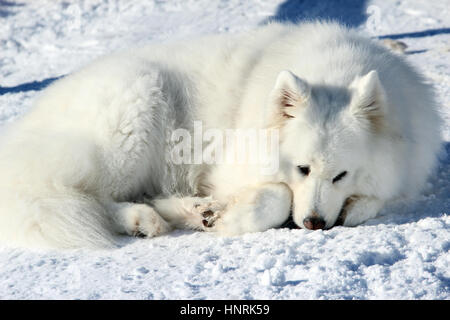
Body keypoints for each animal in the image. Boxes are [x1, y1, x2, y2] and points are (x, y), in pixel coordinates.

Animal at [0, 22, 442, 249]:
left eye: (340, 175)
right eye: (301, 169)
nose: (315, 223)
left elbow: (370, 200)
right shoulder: (234, 170)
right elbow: (277, 197)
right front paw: (229, 217)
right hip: (135, 114)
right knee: (92, 195)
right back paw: (147, 218)